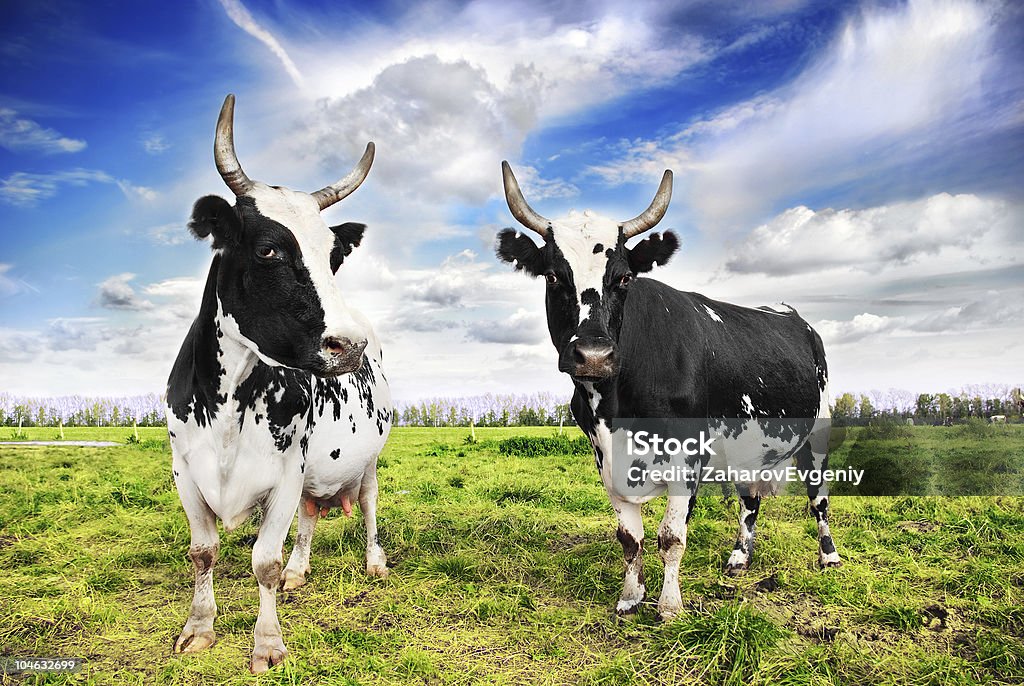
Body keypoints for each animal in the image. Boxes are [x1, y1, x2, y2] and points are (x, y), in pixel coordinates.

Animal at [167, 94, 391, 675]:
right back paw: (299, 569)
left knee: (369, 506)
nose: (348, 346)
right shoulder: (185, 472)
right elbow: (203, 552)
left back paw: (374, 561)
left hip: (370, 459)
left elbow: (262, 561)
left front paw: (266, 643)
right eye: (269, 250)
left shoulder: (286, 473)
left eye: (334, 256)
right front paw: (199, 628)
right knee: (310, 518)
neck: (225, 410)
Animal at [495, 163, 839, 622]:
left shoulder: (688, 455)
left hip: (818, 432)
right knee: (750, 500)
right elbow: (629, 537)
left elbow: (671, 536)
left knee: (818, 498)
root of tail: (790, 313)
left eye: (624, 277)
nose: (593, 355)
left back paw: (829, 556)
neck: (616, 407)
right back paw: (739, 557)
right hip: (747, 445)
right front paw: (630, 596)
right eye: (553, 275)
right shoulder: (604, 455)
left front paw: (669, 605)